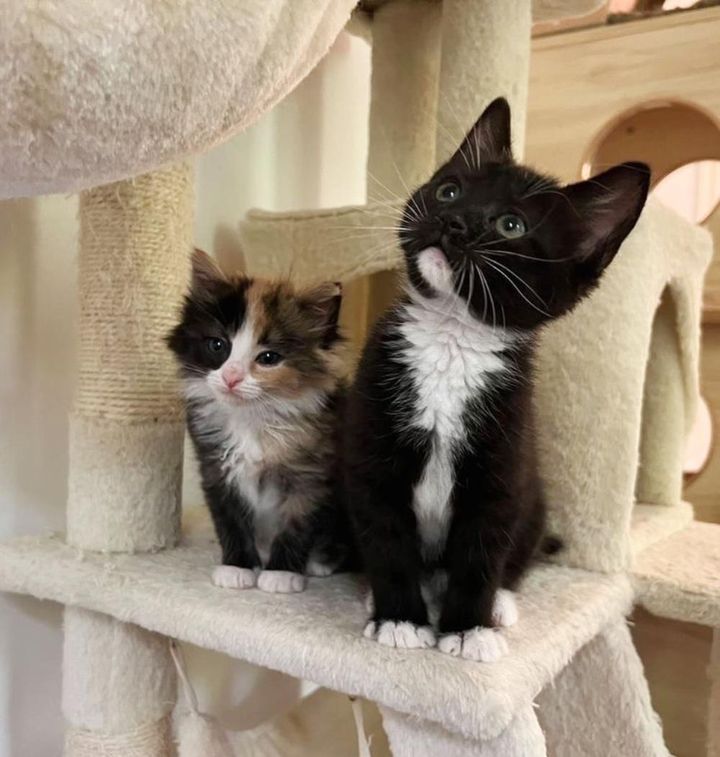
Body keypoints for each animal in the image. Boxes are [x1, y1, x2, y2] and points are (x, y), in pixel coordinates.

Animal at [166, 251, 352, 592]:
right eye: (218, 346)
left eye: (268, 358)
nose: (231, 377)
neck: (252, 420)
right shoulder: (217, 470)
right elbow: (231, 524)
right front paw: (237, 567)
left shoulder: (310, 478)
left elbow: (296, 527)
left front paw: (281, 574)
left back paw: (319, 562)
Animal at [344, 97, 652, 660]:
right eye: (449, 190)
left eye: (511, 225)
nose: (453, 221)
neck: (450, 340)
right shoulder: (371, 448)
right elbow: (387, 538)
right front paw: (400, 618)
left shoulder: (505, 459)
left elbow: (483, 551)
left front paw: (469, 629)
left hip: (536, 494)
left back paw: (501, 605)